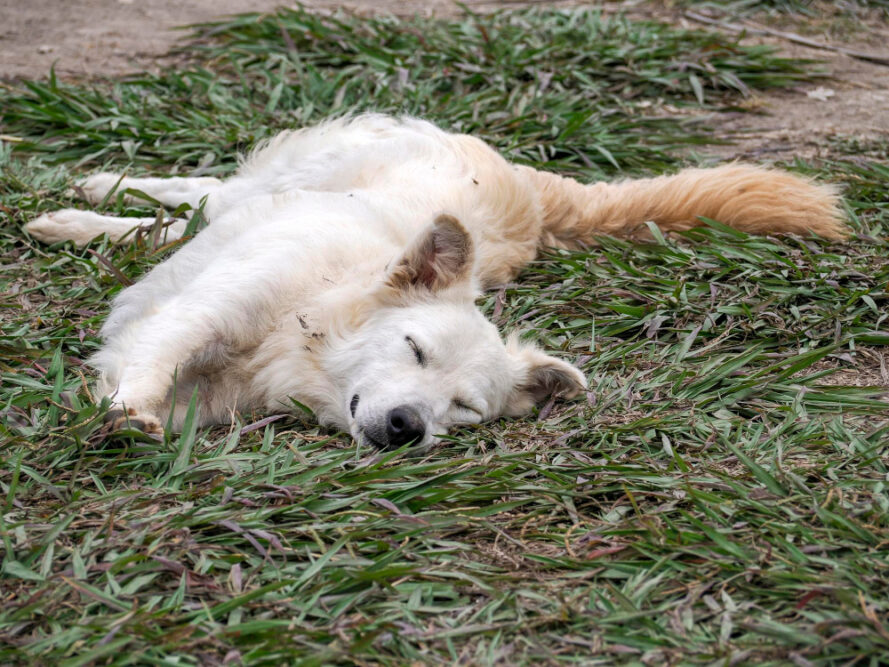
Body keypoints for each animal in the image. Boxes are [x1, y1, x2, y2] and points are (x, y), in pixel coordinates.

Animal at [22, 115, 848, 452]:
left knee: (181, 221)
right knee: (199, 193)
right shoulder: (203, 312)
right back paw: (84, 201)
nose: (405, 427)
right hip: (281, 180)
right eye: (414, 348)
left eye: (464, 409)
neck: (301, 323)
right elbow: (152, 358)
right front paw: (127, 413)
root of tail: (533, 190)